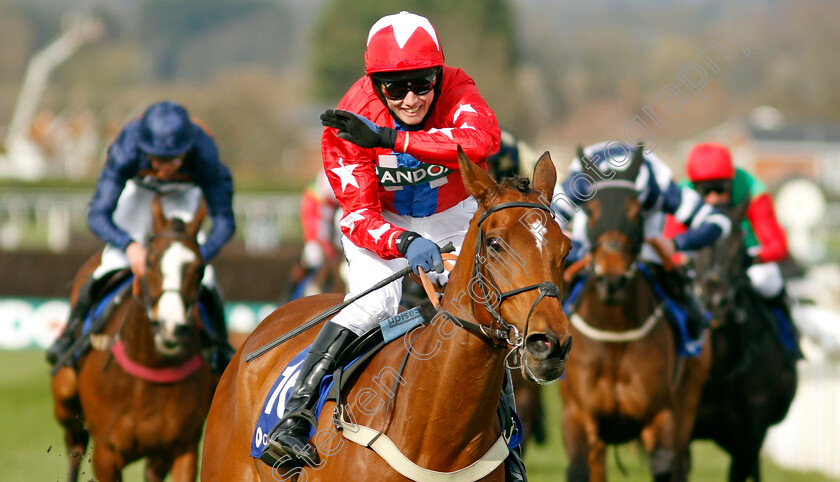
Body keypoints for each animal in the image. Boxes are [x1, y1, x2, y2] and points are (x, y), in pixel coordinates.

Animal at [49, 197, 217, 482]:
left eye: (199, 269)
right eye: (149, 262)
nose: (170, 328)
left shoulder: (183, 447)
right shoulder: (106, 453)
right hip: (65, 396)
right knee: (75, 444)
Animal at [556, 147, 708, 482]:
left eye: (637, 213)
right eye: (590, 212)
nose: (611, 281)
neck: (614, 332)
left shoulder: (660, 414)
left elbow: (664, 464)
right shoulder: (577, 414)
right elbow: (578, 468)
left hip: (689, 399)